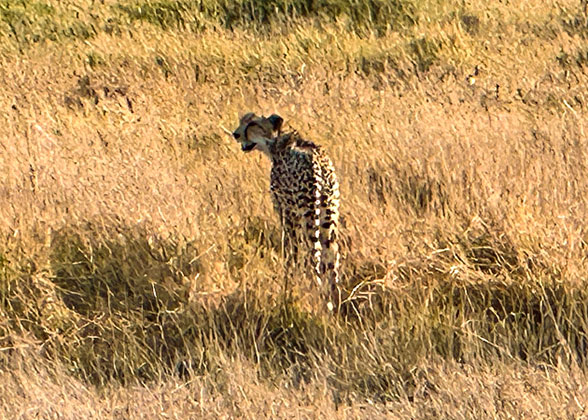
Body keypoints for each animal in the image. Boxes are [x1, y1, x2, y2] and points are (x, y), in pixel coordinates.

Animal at [230, 113, 340, 310]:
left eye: (252, 124)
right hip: (329, 216)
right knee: (332, 258)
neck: (276, 142)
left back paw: (316, 295)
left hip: (309, 216)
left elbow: (290, 249)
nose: (236, 134)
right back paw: (334, 303)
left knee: (314, 256)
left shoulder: (286, 213)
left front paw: (289, 282)